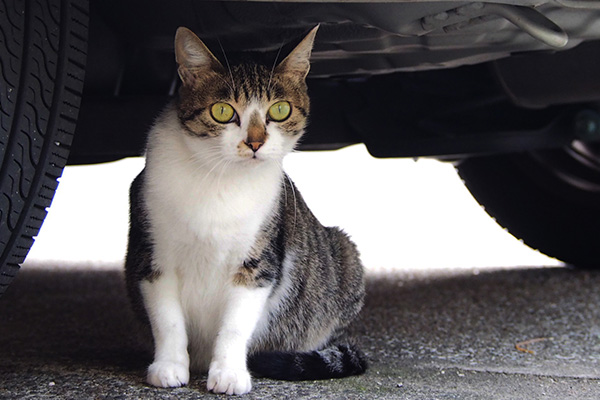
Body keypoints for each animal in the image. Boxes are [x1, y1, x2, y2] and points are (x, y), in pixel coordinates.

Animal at [125, 26, 366, 396]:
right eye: (223, 112)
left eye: (279, 110)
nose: (255, 142)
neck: (221, 177)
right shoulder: (152, 257)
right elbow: (168, 321)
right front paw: (168, 367)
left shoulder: (257, 264)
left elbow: (235, 324)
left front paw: (228, 373)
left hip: (345, 255)